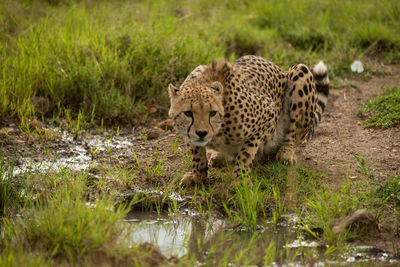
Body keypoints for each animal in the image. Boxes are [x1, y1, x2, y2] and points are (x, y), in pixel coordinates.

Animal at [167, 56, 330, 186]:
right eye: (188, 113)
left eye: (212, 113)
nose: (202, 133)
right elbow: (197, 153)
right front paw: (198, 175)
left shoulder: (267, 111)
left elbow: (246, 154)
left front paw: (241, 181)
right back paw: (219, 156)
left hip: (301, 71)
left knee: (293, 135)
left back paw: (286, 152)